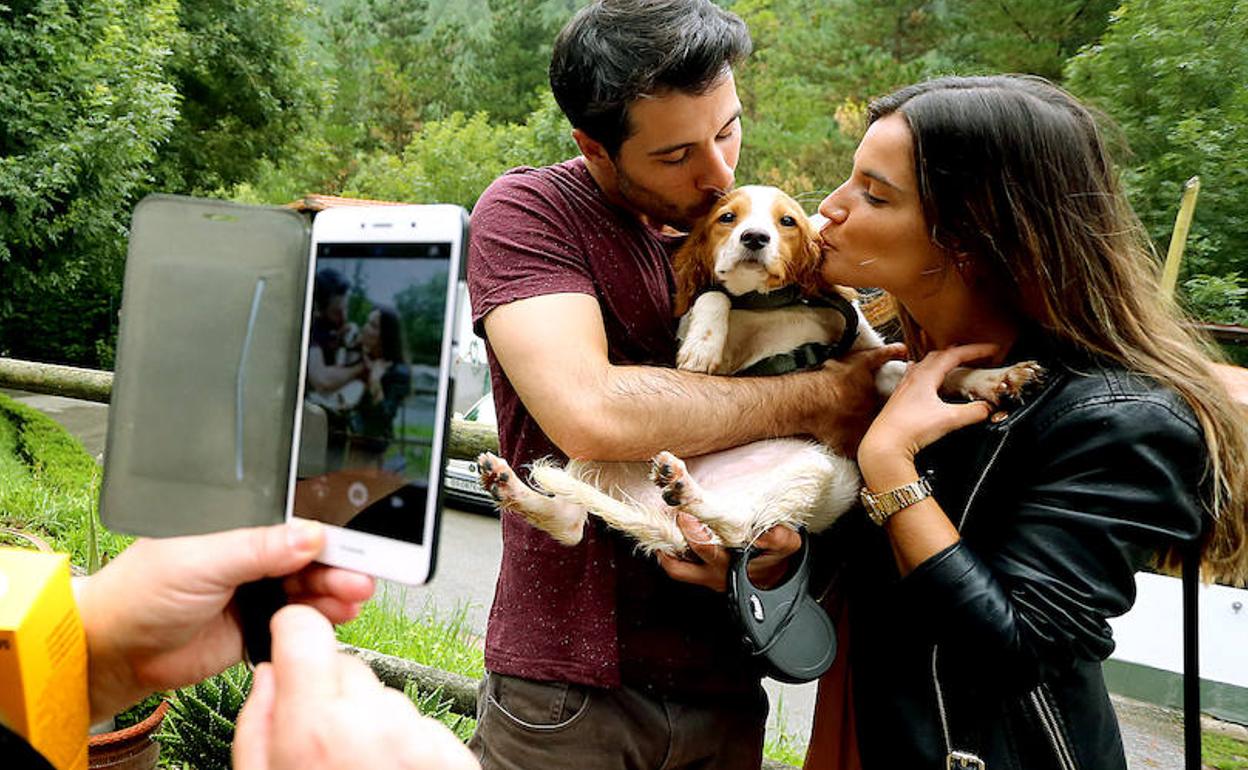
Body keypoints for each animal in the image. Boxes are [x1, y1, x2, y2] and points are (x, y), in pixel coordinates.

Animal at [471, 189, 1038, 556]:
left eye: (788, 222)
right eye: (727, 216)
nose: (754, 237)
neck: (771, 306)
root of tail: (668, 522)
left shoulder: (872, 363)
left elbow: (925, 370)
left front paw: (997, 377)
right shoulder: (727, 357)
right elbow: (714, 296)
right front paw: (702, 343)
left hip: (820, 473)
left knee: (733, 528)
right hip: (601, 448)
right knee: (585, 518)